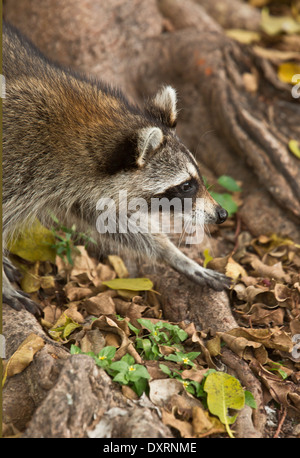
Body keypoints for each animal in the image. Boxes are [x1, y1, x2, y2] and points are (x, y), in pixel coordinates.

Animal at [2, 21, 230, 314]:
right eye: (186, 185)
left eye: (197, 176)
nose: (222, 214)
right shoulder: (18, 158)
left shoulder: (80, 189)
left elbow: (114, 222)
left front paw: (174, 254)